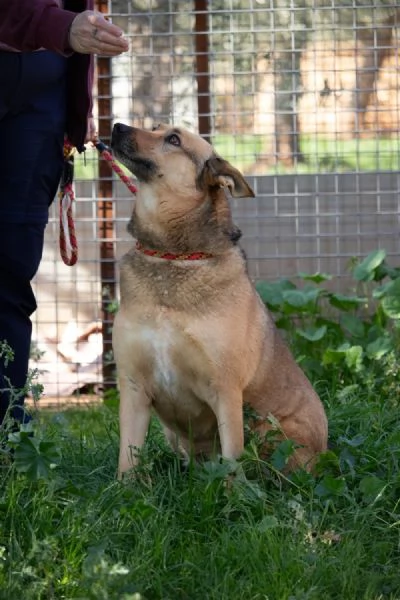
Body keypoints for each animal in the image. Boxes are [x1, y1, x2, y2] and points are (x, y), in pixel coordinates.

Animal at [111, 123, 326, 478]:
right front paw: (126, 489)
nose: (116, 127)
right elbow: (127, 462)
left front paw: (231, 491)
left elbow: (232, 461)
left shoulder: (225, 390)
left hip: (268, 430)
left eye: (173, 139)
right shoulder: (133, 388)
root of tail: (325, 451)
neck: (173, 256)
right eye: (155, 127)